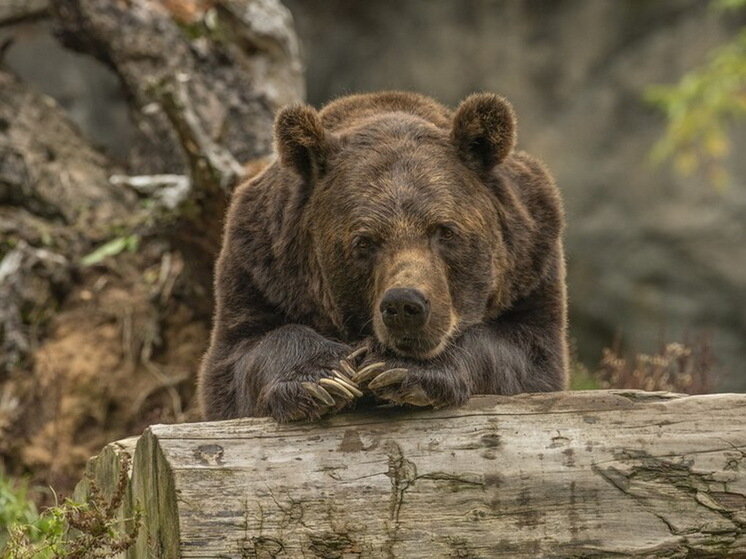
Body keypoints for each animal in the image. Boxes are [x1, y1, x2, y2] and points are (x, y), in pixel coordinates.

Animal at [196, 89, 564, 422]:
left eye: (445, 231)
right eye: (364, 241)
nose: (404, 305)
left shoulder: (531, 262)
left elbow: (525, 354)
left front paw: (399, 368)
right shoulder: (260, 268)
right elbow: (241, 356)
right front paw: (324, 378)